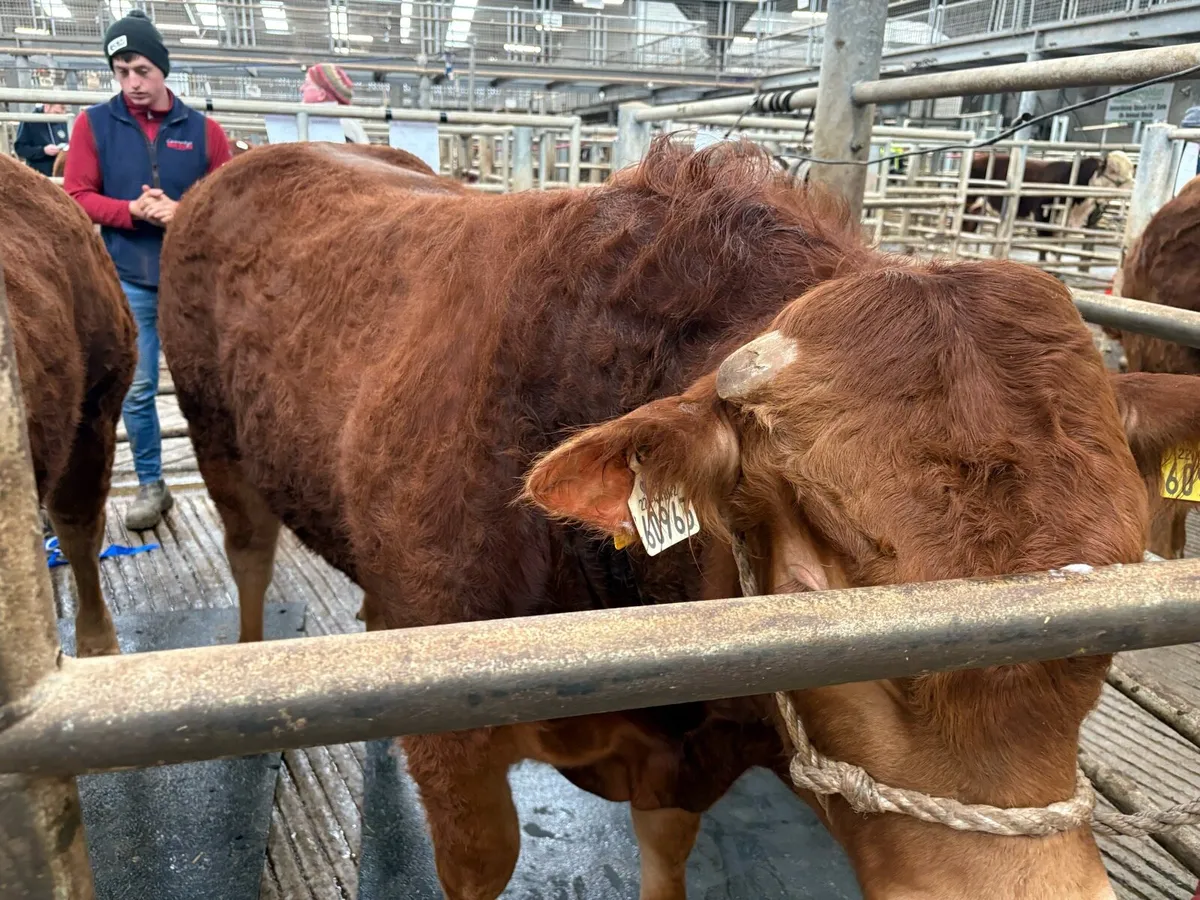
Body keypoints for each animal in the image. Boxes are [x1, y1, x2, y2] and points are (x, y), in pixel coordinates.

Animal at [962, 150, 1134, 258]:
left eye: (1132, 170)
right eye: (1113, 170)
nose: (1134, 186)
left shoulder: (1064, 227)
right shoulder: (1043, 218)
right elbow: (1045, 250)